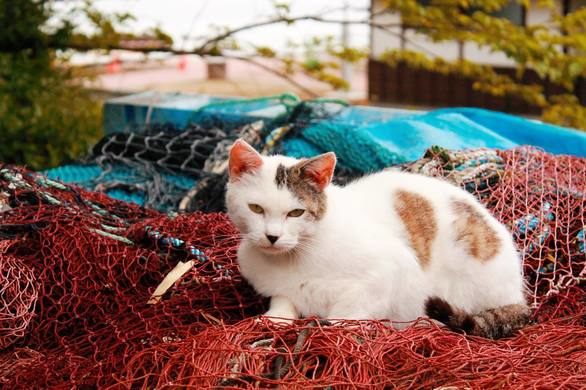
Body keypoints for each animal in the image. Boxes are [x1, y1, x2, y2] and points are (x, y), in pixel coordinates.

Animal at [225, 139, 528, 338]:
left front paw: (331, 330)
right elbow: (283, 301)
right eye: (256, 208)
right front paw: (275, 320)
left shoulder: (387, 272)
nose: (272, 236)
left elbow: (349, 312)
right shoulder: (278, 286)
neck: (295, 255)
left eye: (296, 212)